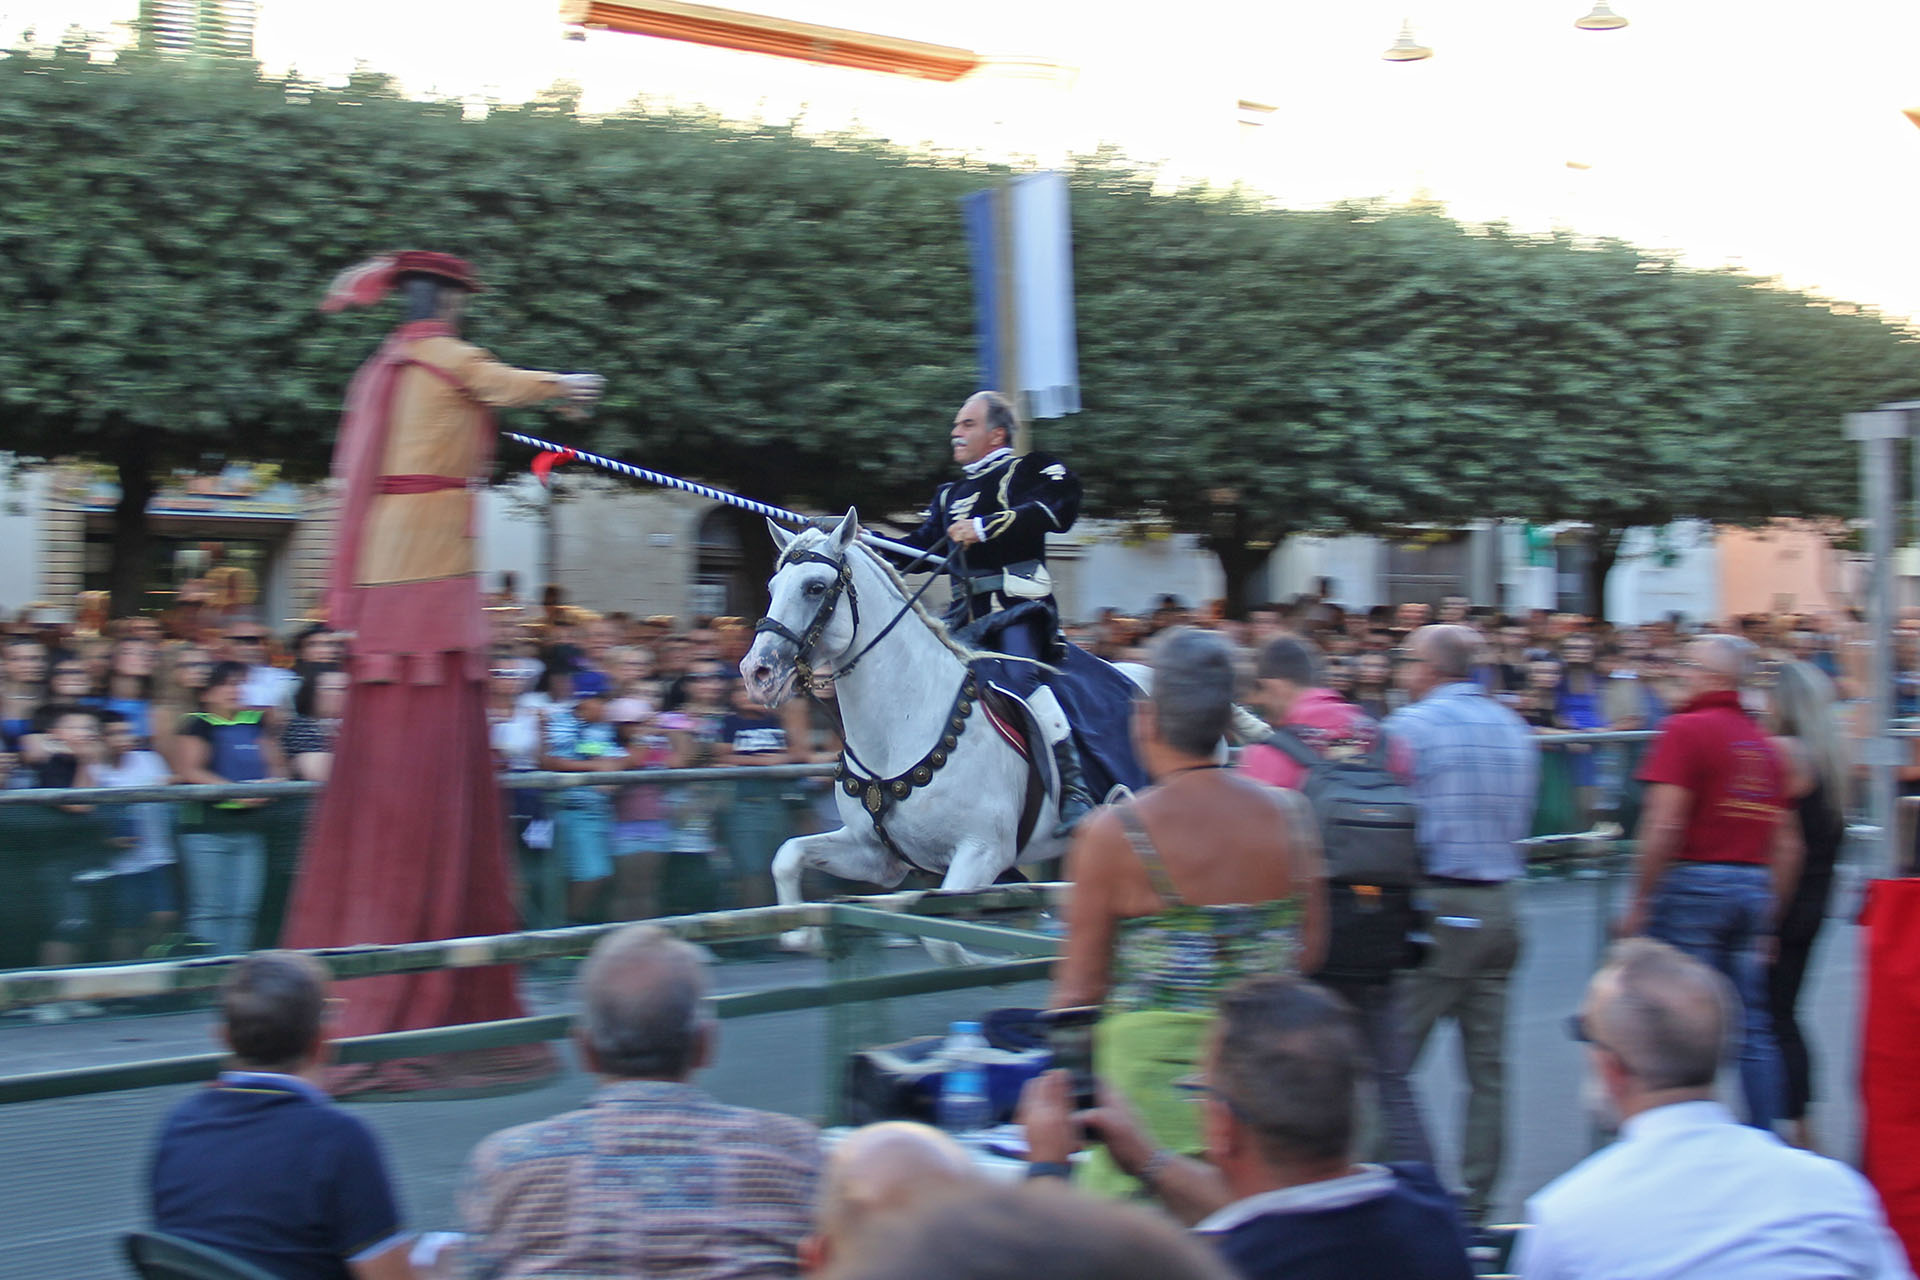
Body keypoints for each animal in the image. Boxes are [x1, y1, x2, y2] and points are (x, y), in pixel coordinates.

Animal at [741, 510, 1121, 959]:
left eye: (815, 587)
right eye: (772, 587)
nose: (757, 673)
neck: (900, 730)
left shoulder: (981, 853)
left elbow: (940, 938)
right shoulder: (877, 857)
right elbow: (787, 855)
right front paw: (802, 934)